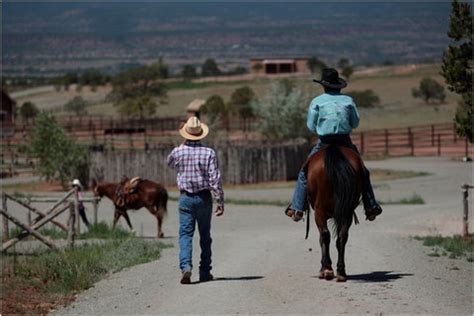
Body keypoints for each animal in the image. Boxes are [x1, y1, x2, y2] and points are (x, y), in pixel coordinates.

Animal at [306, 144, 362, 282]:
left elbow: (322, 239)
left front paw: (324, 268)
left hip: (319, 212)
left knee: (325, 235)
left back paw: (327, 270)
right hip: (347, 213)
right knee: (342, 236)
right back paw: (341, 272)